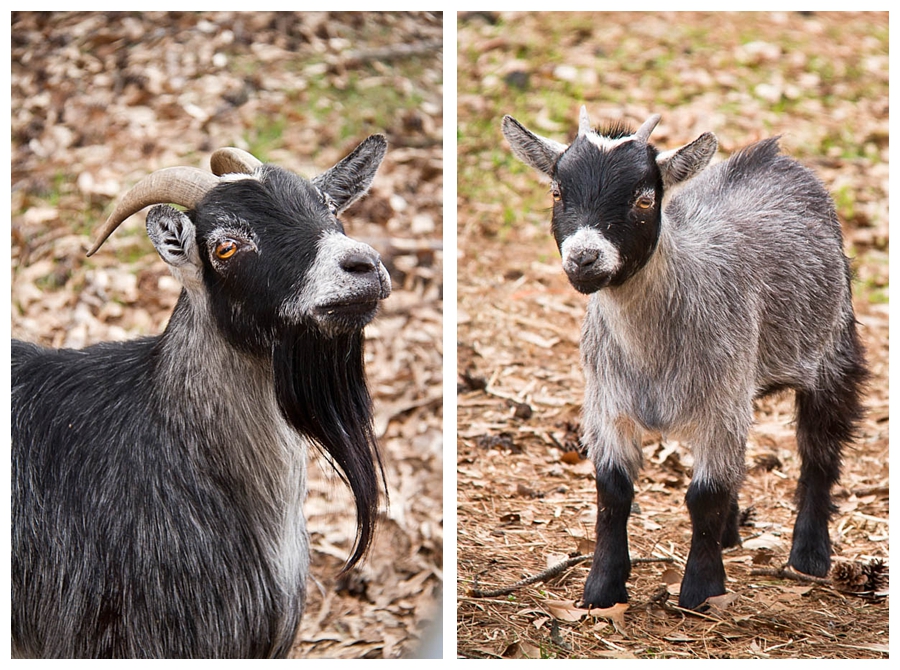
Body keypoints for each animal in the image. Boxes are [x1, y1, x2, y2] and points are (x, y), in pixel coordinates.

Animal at [502, 109, 868, 616]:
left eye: (644, 198)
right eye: (557, 193)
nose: (584, 258)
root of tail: (775, 158)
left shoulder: (721, 400)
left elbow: (704, 495)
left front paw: (701, 590)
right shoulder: (607, 402)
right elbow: (613, 491)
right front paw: (602, 589)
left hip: (832, 347)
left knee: (820, 451)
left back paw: (809, 555)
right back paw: (732, 535)